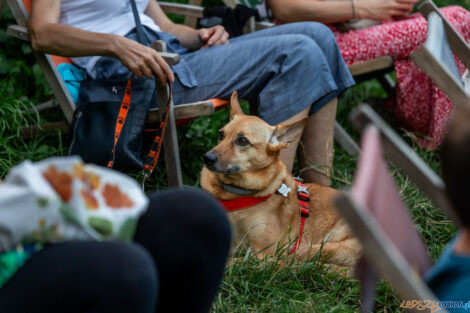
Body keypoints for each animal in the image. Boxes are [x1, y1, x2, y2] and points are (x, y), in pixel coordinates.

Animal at [199, 91, 360, 266]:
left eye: (243, 141)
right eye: (221, 135)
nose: (207, 158)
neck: (235, 194)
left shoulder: (263, 252)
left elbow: (235, 261)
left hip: (323, 245)